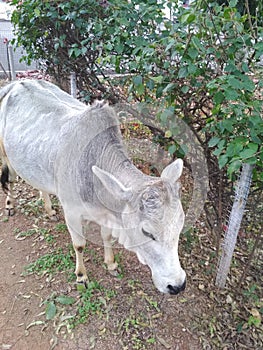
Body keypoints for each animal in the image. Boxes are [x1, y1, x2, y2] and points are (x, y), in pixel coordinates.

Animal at [0, 80, 187, 294]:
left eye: (180, 225)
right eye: (147, 232)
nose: (177, 285)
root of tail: (15, 83)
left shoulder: (107, 213)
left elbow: (106, 236)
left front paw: (111, 263)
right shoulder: (71, 211)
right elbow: (79, 244)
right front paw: (81, 275)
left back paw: (49, 210)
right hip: (4, 154)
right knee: (9, 179)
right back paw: (10, 205)